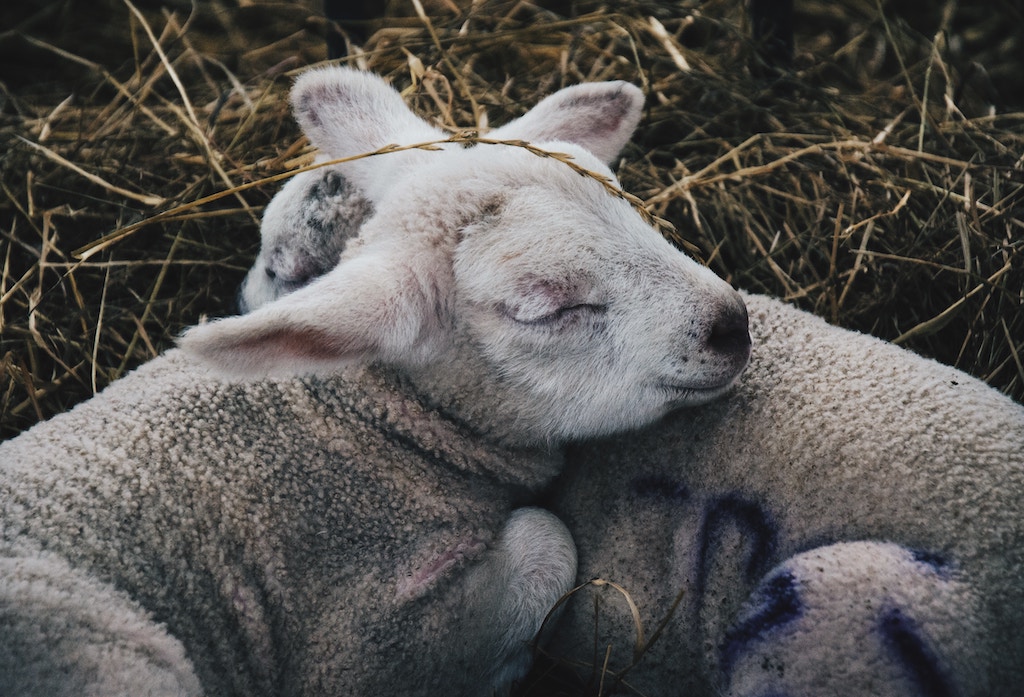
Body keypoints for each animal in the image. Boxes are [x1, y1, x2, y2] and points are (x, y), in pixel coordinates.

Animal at [0, 67, 752, 697]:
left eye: (629, 206)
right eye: (545, 306)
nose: (733, 324)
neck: (362, 419)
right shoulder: (359, 649)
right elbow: (547, 539)